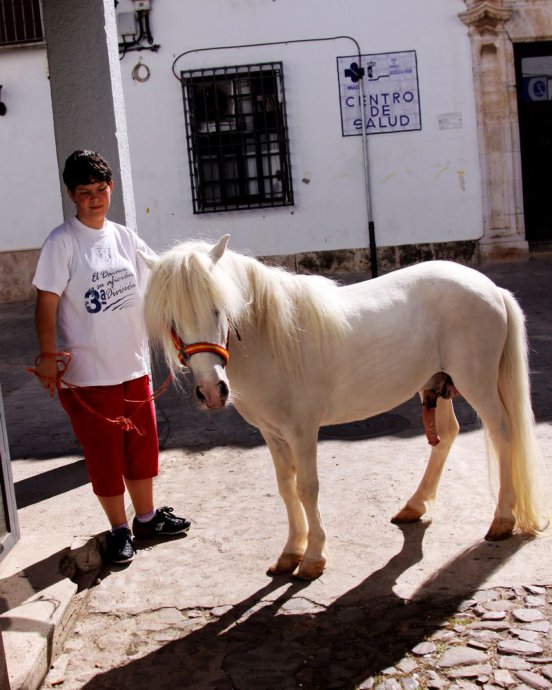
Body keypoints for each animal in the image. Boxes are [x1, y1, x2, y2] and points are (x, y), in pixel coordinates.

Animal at [140, 234, 544, 576]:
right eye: (172, 320)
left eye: (219, 309)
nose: (212, 391)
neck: (271, 340)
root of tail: (491, 288)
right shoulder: (272, 433)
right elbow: (286, 487)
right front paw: (291, 552)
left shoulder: (302, 431)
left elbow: (307, 488)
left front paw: (314, 557)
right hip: (434, 381)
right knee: (446, 435)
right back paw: (414, 506)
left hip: (477, 383)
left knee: (502, 433)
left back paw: (502, 520)